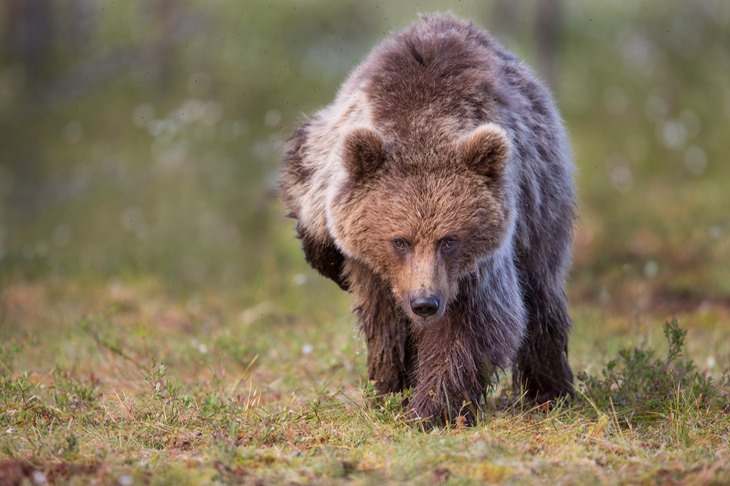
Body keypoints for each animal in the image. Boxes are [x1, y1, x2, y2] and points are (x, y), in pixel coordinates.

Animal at [278, 10, 576, 422]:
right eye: (399, 241)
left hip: (540, 205)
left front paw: (429, 407)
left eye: (449, 240)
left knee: (541, 295)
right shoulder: (331, 157)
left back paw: (551, 392)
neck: (422, 120)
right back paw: (387, 385)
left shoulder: (478, 263)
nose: (425, 303)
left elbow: (476, 323)